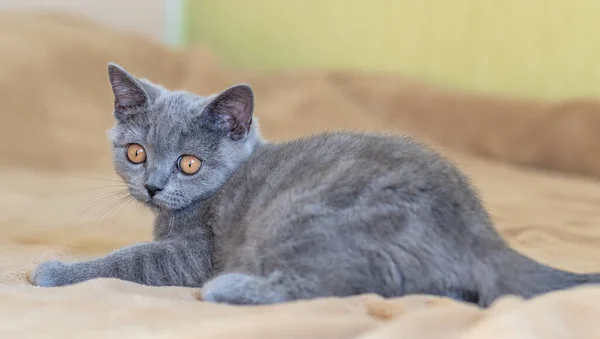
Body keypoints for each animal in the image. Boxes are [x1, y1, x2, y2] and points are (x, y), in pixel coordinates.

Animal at [32, 63, 600, 308]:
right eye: (136, 153)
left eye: (189, 164)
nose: (151, 186)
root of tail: (480, 232)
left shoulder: (193, 254)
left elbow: (129, 260)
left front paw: (55, 271)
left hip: (305, 217)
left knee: (333, 284)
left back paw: (229, 289)